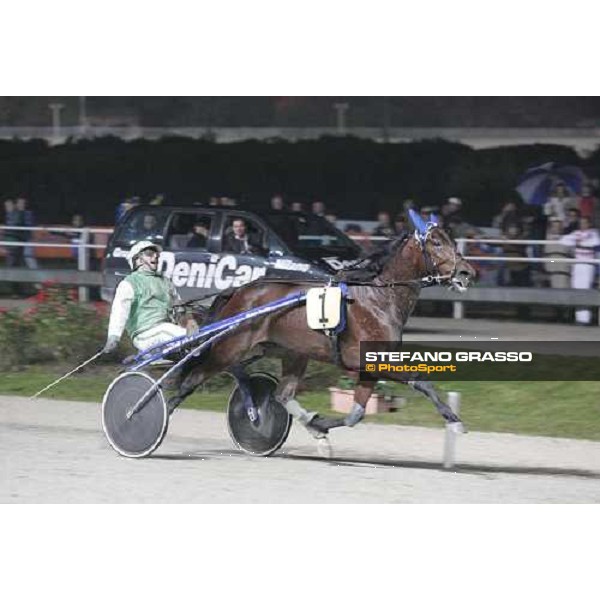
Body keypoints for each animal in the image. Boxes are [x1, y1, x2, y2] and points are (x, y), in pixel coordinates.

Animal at [168, 211, 474, 450]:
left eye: (450, 240)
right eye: (436, 242)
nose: (467, 273)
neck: (378, 299)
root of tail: (240, 291)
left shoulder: (368, 368)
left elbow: (355, 415)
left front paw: (320, 425)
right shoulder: (371, 360)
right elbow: (422, 381)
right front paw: (455, 420)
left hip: (287, 352)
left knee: (280, 394)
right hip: (231, 346)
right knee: (191, 379)